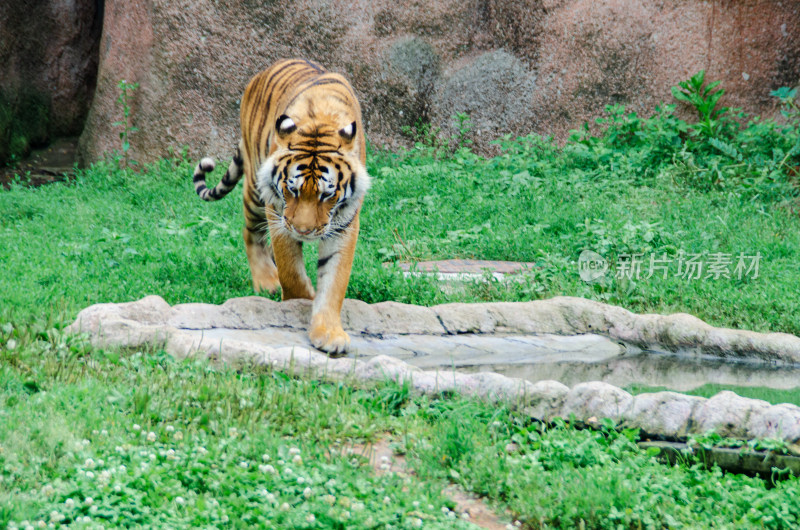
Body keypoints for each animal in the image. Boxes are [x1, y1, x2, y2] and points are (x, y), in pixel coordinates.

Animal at [192, 58, 370, 350]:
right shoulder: (279, 214)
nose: (304, 231)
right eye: (292, 190)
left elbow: (334, 281)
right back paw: (267, 283)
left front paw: (329, 333)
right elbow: (291, 271)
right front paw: (301, 299)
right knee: (250, 233)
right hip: (255, 189)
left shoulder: (344, 224)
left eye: (327, 195)